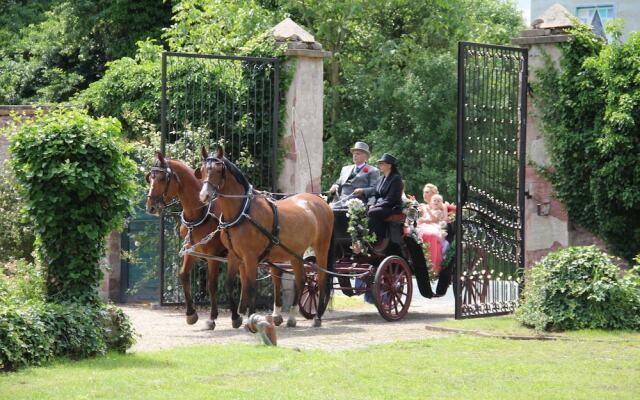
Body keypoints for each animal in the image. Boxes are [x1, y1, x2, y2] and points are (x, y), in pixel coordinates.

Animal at [145, 152, 242, 330]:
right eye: (150, 178)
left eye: (162, 178)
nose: (151, 207)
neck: (200, 212)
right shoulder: (191, 250)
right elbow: (183, 275)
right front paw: (191, 313)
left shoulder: (212, 256)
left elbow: (212, 284)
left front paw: (212, 317)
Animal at [198, 145, 332, 326]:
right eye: (202, 169)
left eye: (219, 170)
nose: (204, 196)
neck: (243, 211)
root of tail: (321, 201)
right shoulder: (234, 255)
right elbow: (229, 285)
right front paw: (236, 318)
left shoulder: (250, 257)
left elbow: (251, 287)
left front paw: (251, 319)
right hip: (295, 253)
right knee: (301, 279)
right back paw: (291, 318)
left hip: (321, 247)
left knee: (322, 279)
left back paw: (317, 317)